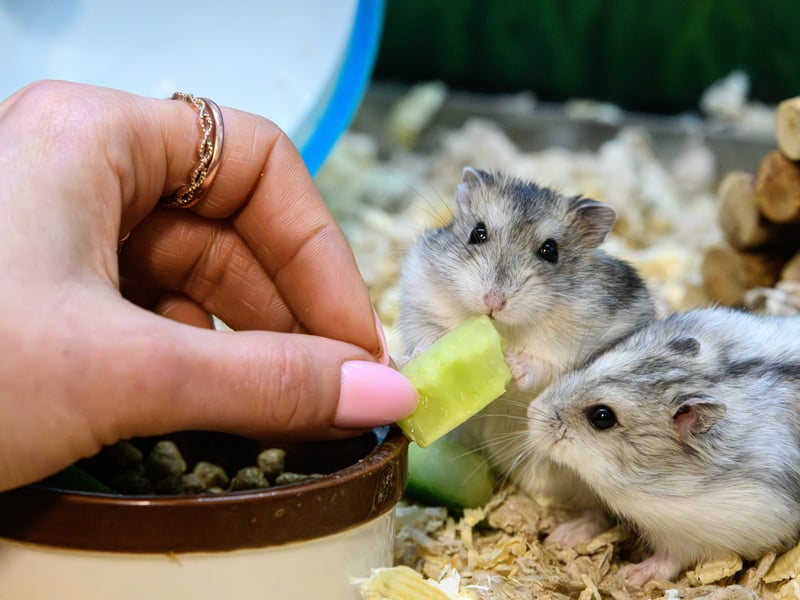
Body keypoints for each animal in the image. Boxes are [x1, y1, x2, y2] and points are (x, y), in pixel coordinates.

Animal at [398, 167, 655, 532]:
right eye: (477, 233)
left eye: (550, 251)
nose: (493, 302)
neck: (504, 330)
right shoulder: (419, 291)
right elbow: (425, 332)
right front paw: (417, 356)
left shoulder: (582, 350)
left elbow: (547, 368)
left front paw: (513, 364)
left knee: (599, 514)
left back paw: (566, 534)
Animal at [527, 306, 800, 585]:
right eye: (594, 363)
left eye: (602, 417)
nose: (531, 413)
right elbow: (594, 514)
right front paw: (558, 536)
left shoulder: (711, 528)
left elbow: (670, 559)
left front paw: (629, 577)